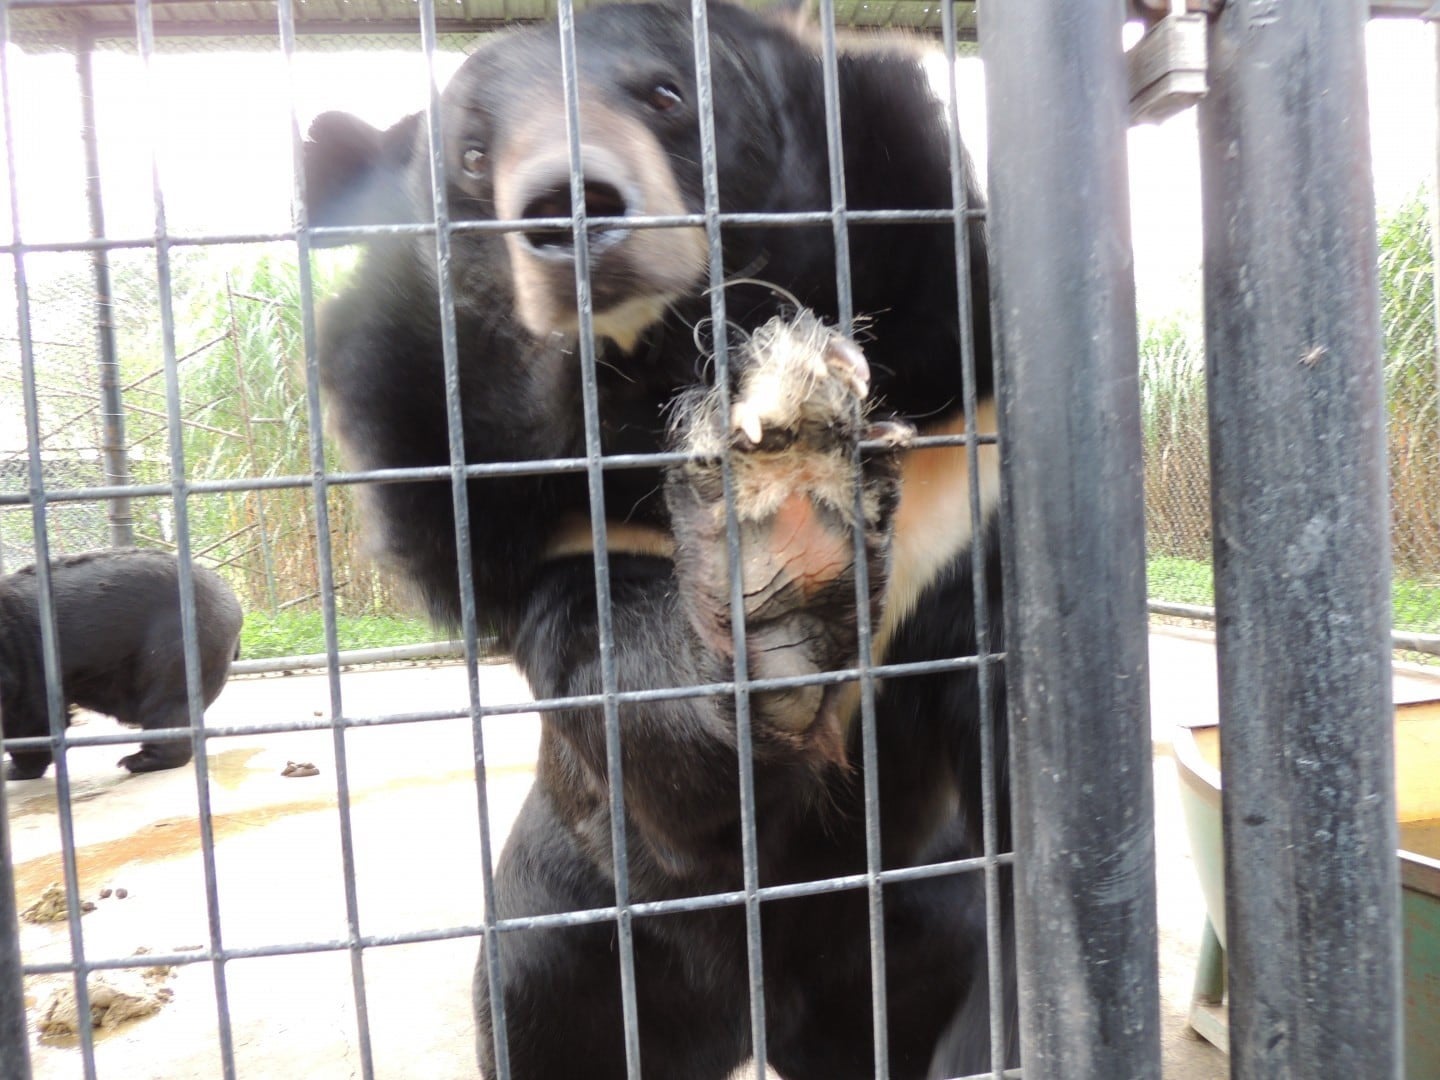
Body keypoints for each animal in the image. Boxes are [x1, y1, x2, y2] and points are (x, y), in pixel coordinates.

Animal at [0, 552, 244, 783]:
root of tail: (233, 600)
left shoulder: (24, 660)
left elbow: (28, 719)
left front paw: (15, 769)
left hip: (179, 640)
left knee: (168, 703)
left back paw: (139, 760)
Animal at [306, 4, 1013, 1077]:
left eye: (667, 95)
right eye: (471, 157)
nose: (570, 211)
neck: (650, 375)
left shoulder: (963, 452)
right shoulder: (511, 514)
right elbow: (637, 702)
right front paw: (773, 544)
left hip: (910, 936)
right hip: (570, 939)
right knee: (542, 1026)